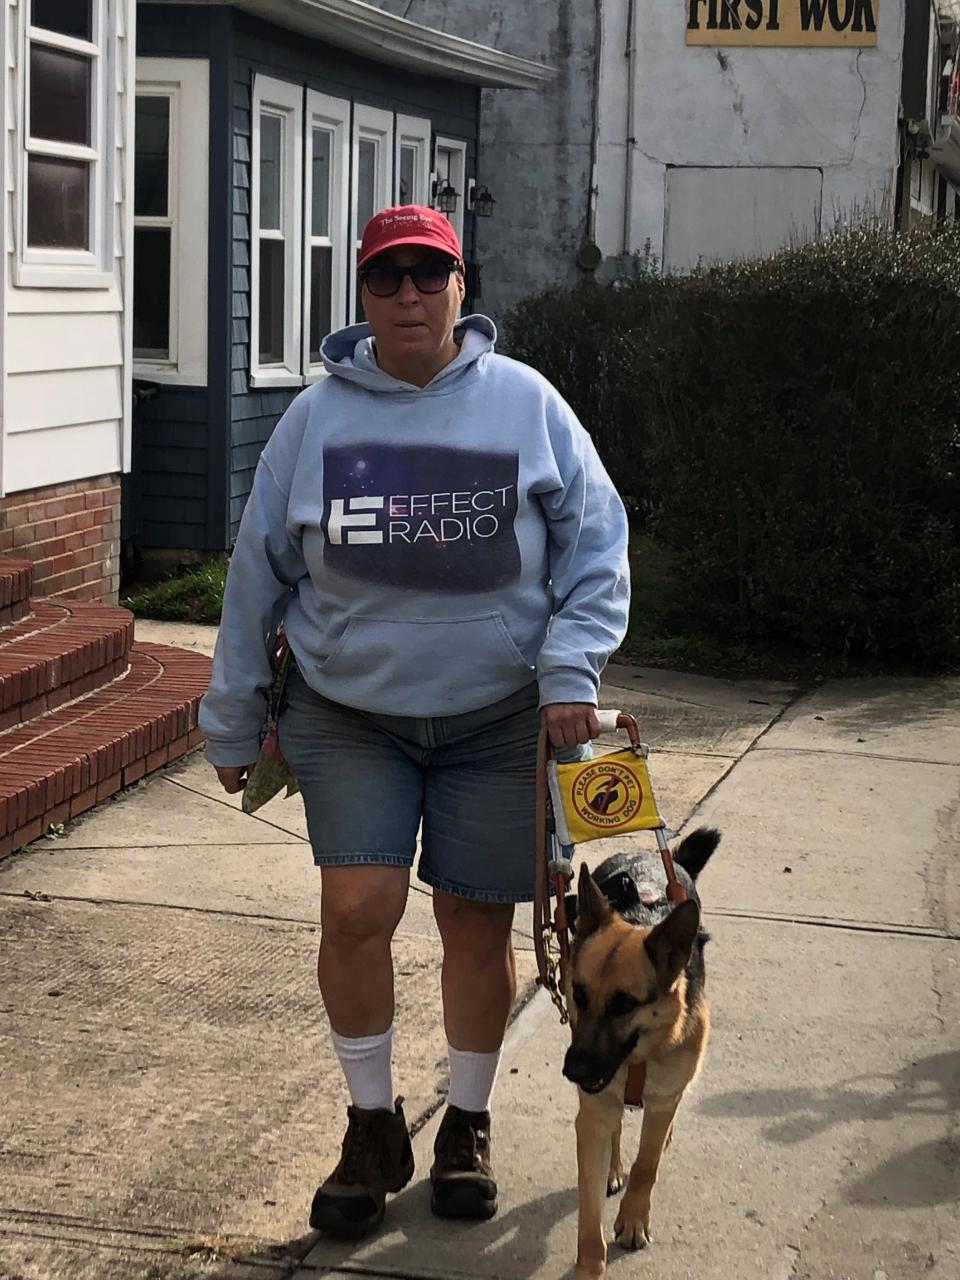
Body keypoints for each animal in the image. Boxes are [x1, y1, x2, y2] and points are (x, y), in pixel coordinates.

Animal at [563, 824, 721, 1274]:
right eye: (579, 994)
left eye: (623, 1004)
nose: (573, 1071)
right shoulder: (594, 1113)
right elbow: (589, 1214)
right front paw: (589, 1266)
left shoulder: (664, 1097)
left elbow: (646, 1165)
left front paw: (633, 1219)